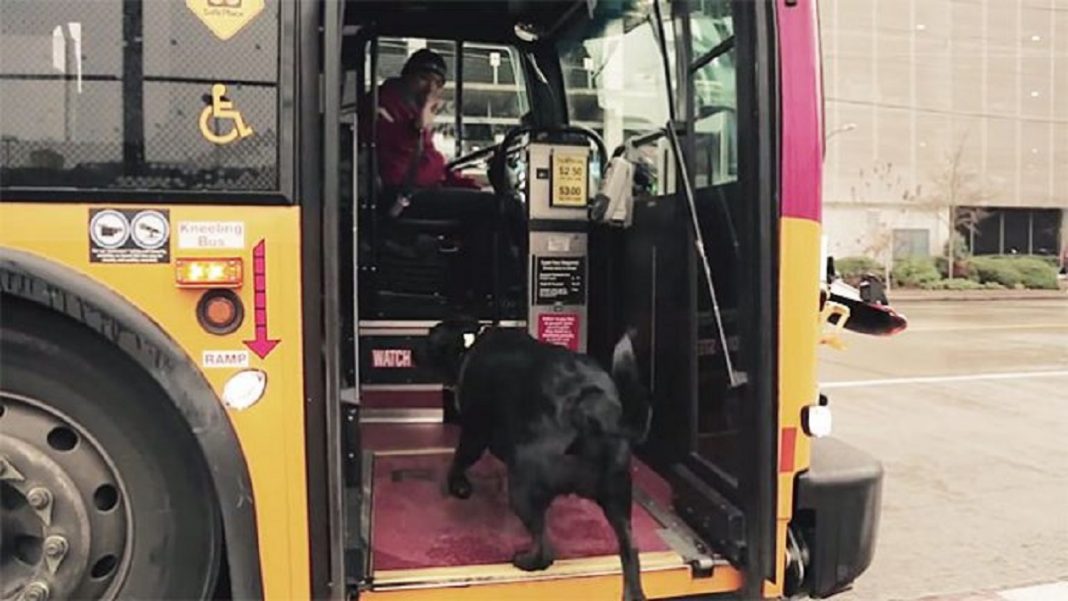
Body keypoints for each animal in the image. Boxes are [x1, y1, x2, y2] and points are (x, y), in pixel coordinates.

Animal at [420, 322, 645, 601]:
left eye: (429, 337)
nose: (413, 349)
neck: (471, 343)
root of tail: (590, 410)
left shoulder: (475, 432)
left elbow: (460, 458)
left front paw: (456, 483)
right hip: (618, 497)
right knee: (630, 550)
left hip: (523, 487)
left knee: (544, 548)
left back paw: (527, 561)